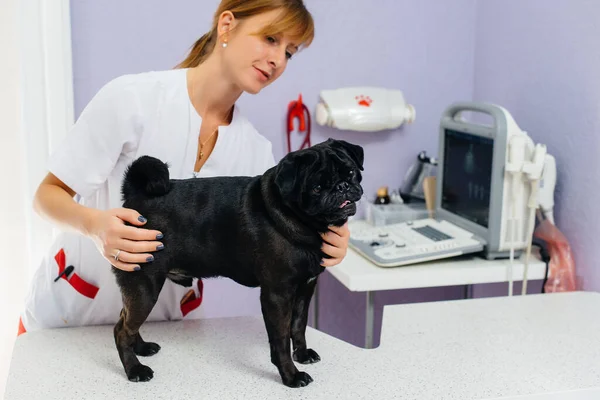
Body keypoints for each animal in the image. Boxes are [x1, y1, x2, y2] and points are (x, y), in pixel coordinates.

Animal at [113, 138, 366, 388]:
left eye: (351, 172)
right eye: (316, 188)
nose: (342, 186)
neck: (305, 223)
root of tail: (136, 198)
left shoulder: (305, 289)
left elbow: (298, 326)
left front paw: (302, 355)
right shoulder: (278, 294)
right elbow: (281, 339)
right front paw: (291, 375)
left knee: (126, 320)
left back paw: (141, 349)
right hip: (145, 287)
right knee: (122, 331)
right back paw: (135, 369)